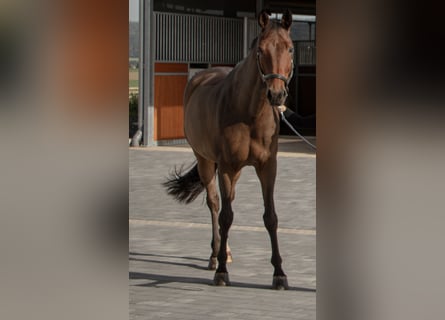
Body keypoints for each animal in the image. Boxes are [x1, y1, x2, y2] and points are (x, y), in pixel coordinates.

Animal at [163, 10, 294, 290]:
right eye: (260, 50)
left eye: (289, 48)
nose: (276, 95)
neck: (249, 113)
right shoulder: (225, 166)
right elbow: (225, 216)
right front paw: (222, 272)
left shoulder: (268, 167)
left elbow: (271, 217)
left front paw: (279, 273)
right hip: (205, 161)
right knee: (215, 204)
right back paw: (216, 256)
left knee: (229, 201)